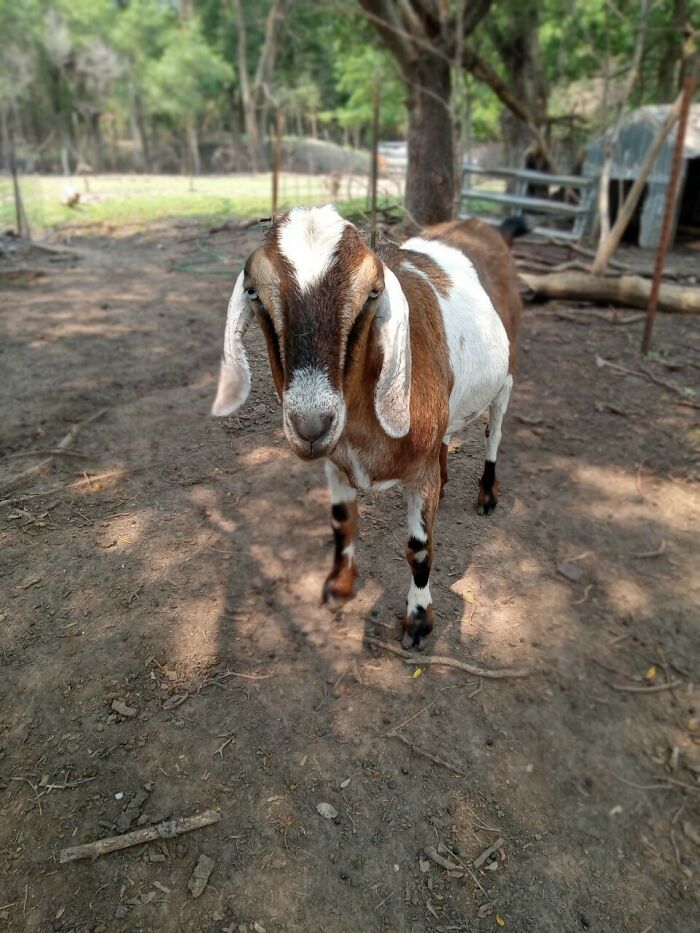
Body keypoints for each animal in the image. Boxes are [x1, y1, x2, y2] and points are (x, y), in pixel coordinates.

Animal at [211, 205, 522, 649]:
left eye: (373, 293)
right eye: (253, 291)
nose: (311, 425)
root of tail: (486, 227)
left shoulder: (418, 474)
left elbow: (419, 549)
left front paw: (418, 620)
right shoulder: (336, 464)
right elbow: (343, 523)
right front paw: (338, 587)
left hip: (507, 375)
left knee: (493, 433)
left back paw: (487, 494)